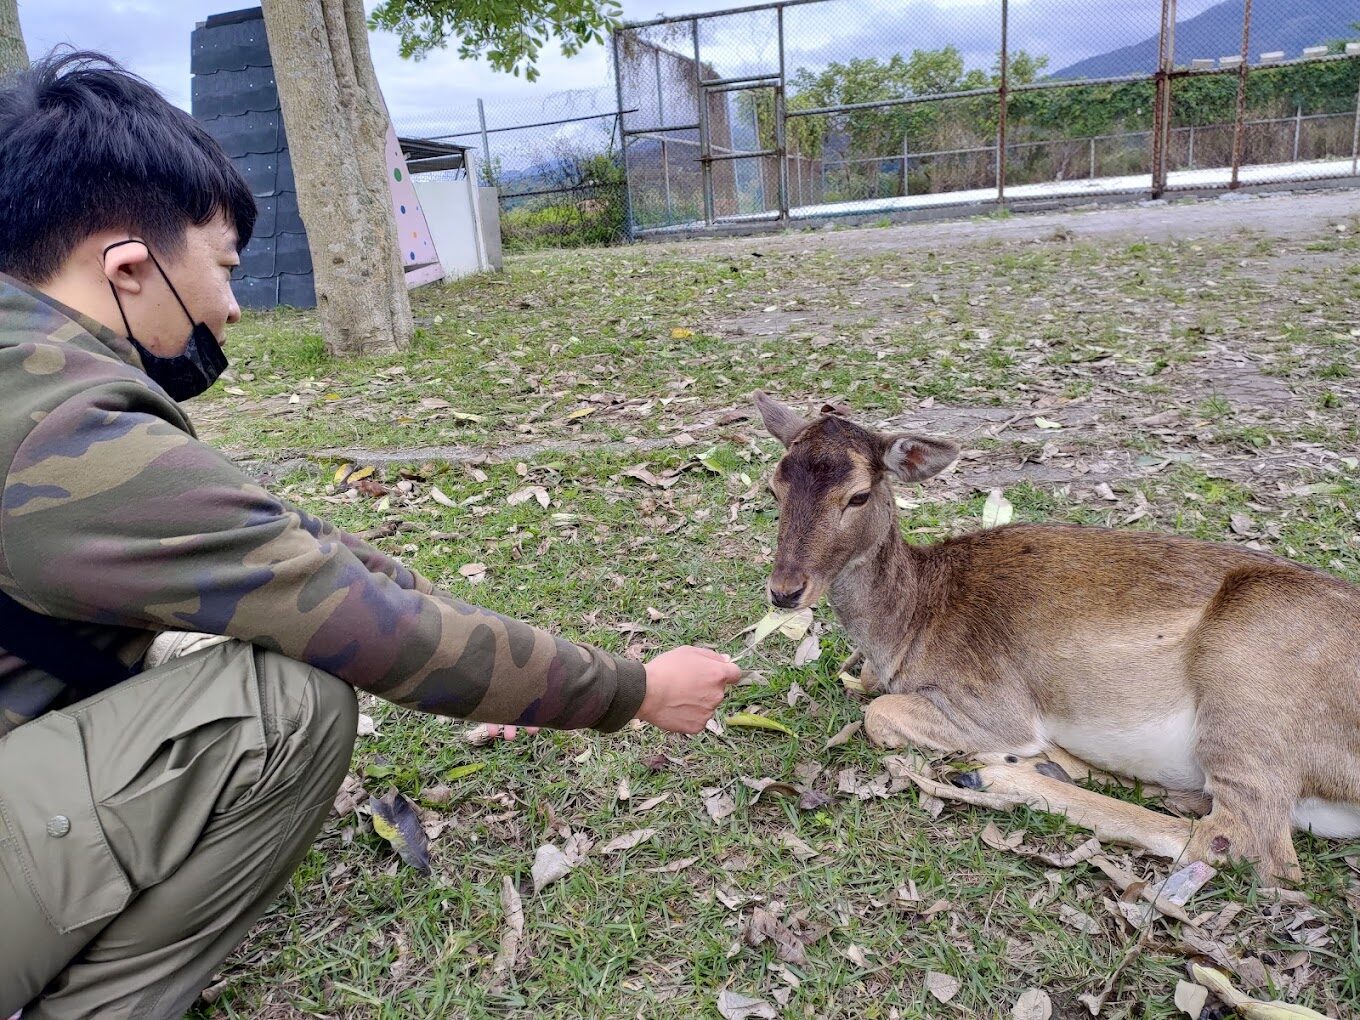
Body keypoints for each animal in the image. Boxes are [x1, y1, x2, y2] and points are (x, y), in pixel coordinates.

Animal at [753, 390, 1360, 882]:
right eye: (775, 486)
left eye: (857, 495)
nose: (785, 591)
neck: (910, 627)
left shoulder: (992, 702)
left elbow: (879, 715)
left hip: (1249, 687)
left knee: (1245, 843)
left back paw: (996, 778)